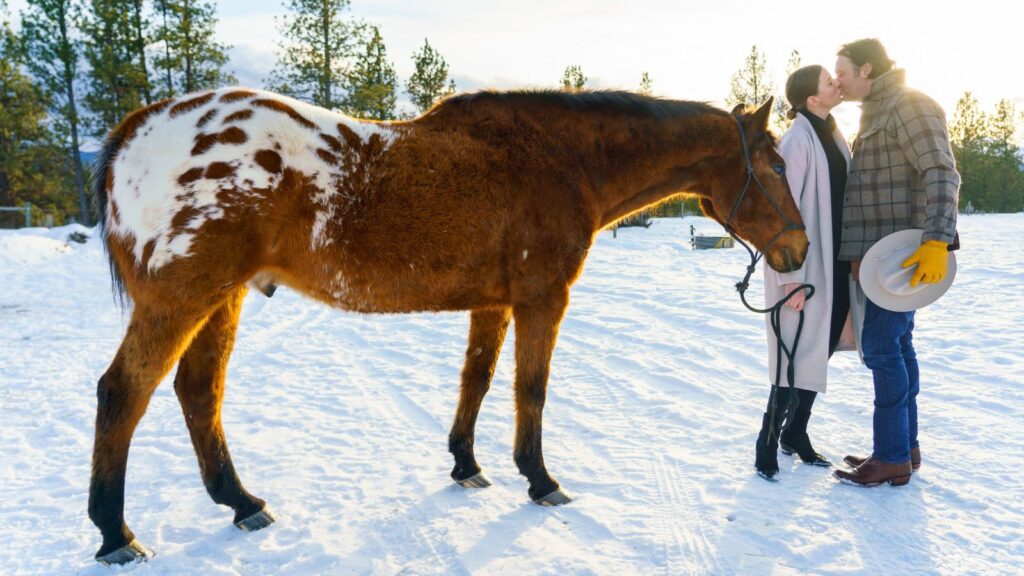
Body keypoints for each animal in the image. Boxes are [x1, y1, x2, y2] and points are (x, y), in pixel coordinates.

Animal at [86, 87, 806, 561]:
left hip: (223, 298)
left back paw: (240, 502)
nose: (799, 250)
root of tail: (137, 129)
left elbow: (477, 381)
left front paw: (465, 463)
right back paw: (115, 533)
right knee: (124, 393)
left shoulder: (493, 303)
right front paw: (540, 479)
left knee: (198, 391)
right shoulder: (542, 299)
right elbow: (529, 390)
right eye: (775, 166)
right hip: (182, 299)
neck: (561, 158)